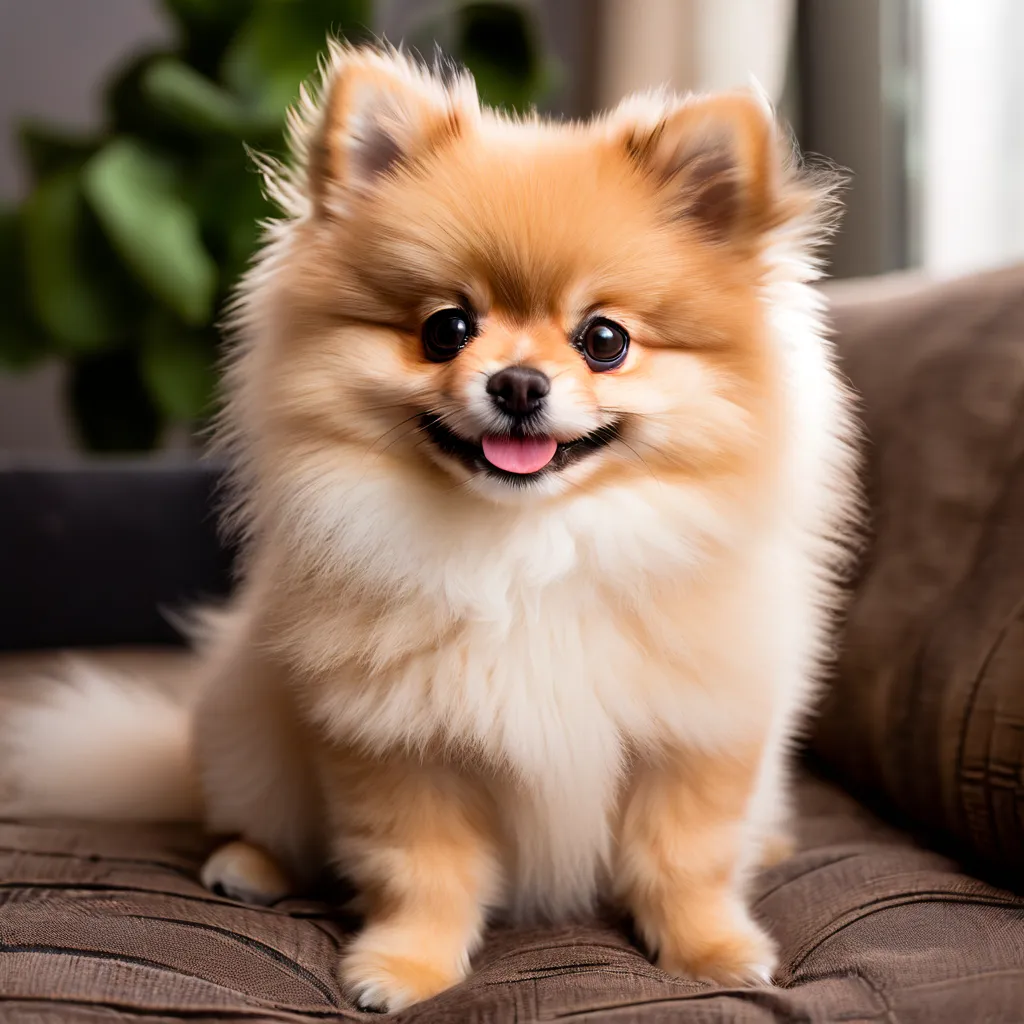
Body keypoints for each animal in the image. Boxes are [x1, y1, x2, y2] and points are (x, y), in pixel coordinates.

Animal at [4, 46, 860, 1007]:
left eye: (605, 341)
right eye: (446, 329)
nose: (518, 383)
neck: (529, 551)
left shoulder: (694, 732)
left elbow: (686, 859)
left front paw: (711, 949)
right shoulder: (397, 742)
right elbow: (421, 870)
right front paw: (405, 966)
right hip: (250, 731)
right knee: (263, 817)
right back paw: (248, 864)